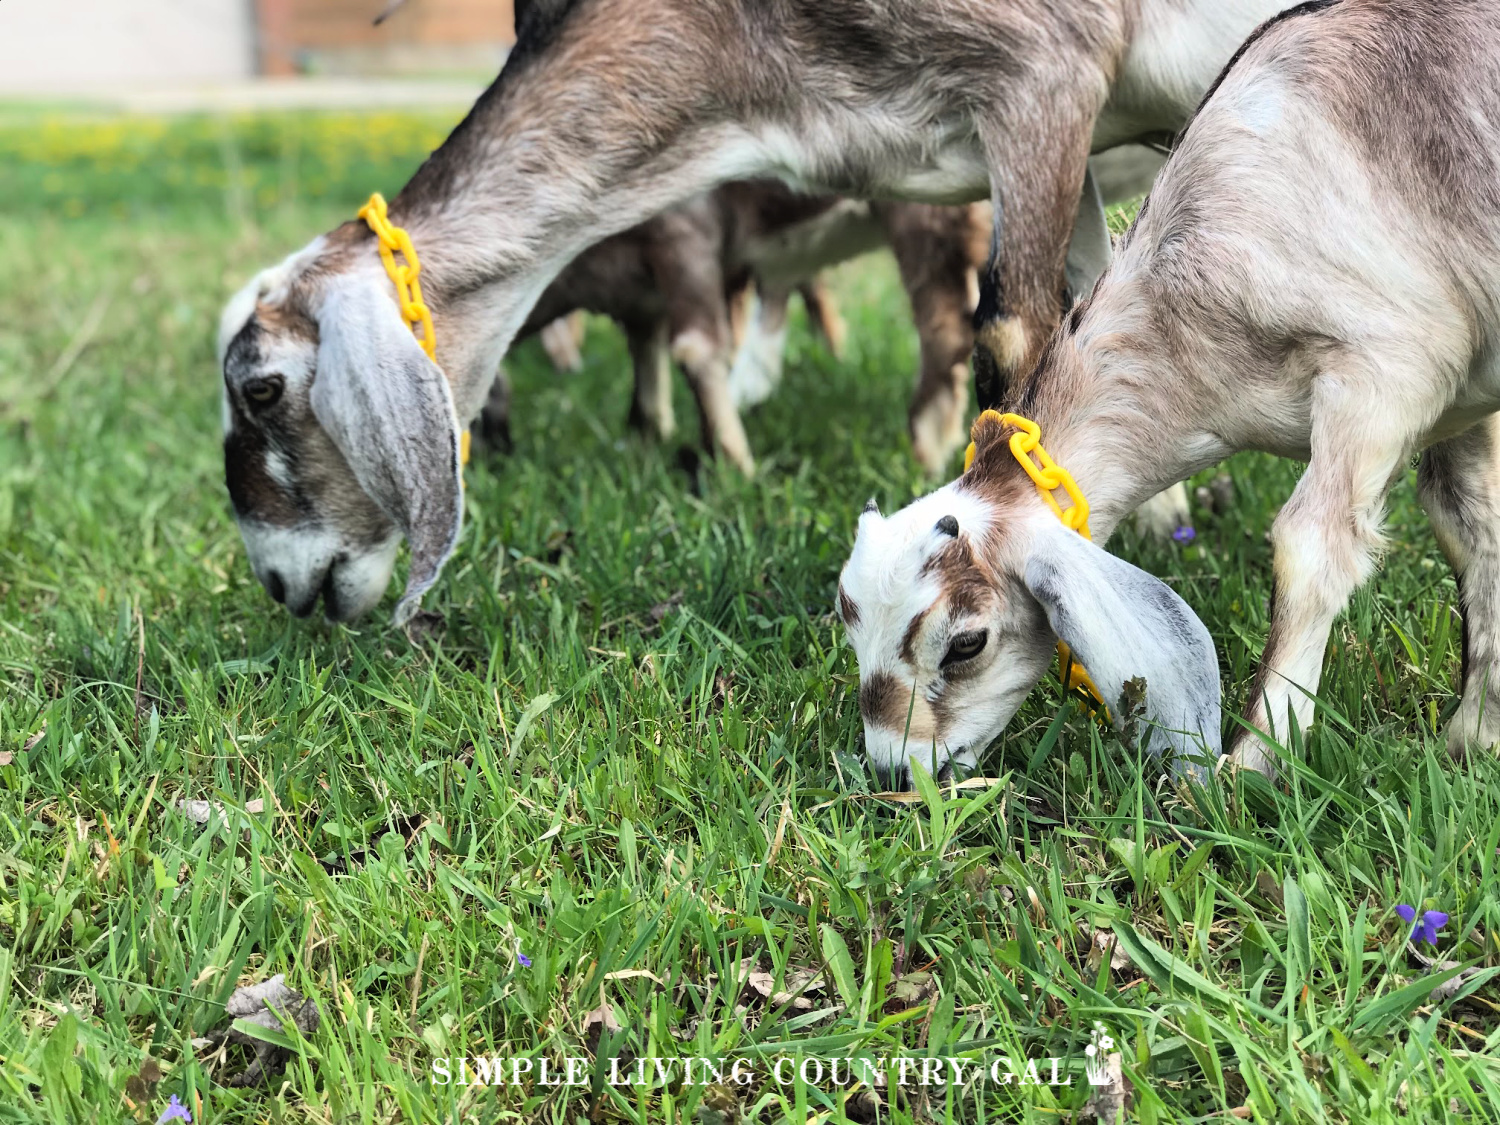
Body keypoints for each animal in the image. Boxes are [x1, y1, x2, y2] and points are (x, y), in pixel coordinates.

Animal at [219, 0, 1290, 627]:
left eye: (261, 387)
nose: (278, 582)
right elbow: (1091, 315)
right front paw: (1161, 528)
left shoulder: (1042, 69)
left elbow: (1018, 339)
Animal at [840, 0, 1500, 786]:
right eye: (849, 626)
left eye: (967, 642)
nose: (893, 770)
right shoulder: (1461, 402)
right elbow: (1475, 529)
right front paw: (1474, 741)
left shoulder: (1384, 370)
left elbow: (1309, 548)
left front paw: (1252, 765)